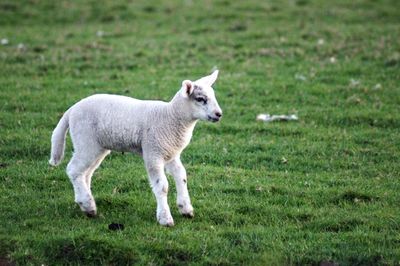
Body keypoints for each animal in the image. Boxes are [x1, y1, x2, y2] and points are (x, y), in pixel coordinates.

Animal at [48, 69, 223, 225]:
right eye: (200, 99)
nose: (219, 114)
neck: (170, 117)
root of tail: (71, 110)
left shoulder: (170, 153)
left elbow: (182, 176)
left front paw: (186, 209)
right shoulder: (153, 152)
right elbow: (162, 186)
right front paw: (165, 218)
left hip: (97, 147)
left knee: (85, 173)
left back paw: (86, 205)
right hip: (85, 141)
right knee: (74, 170)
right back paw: (87, 205)